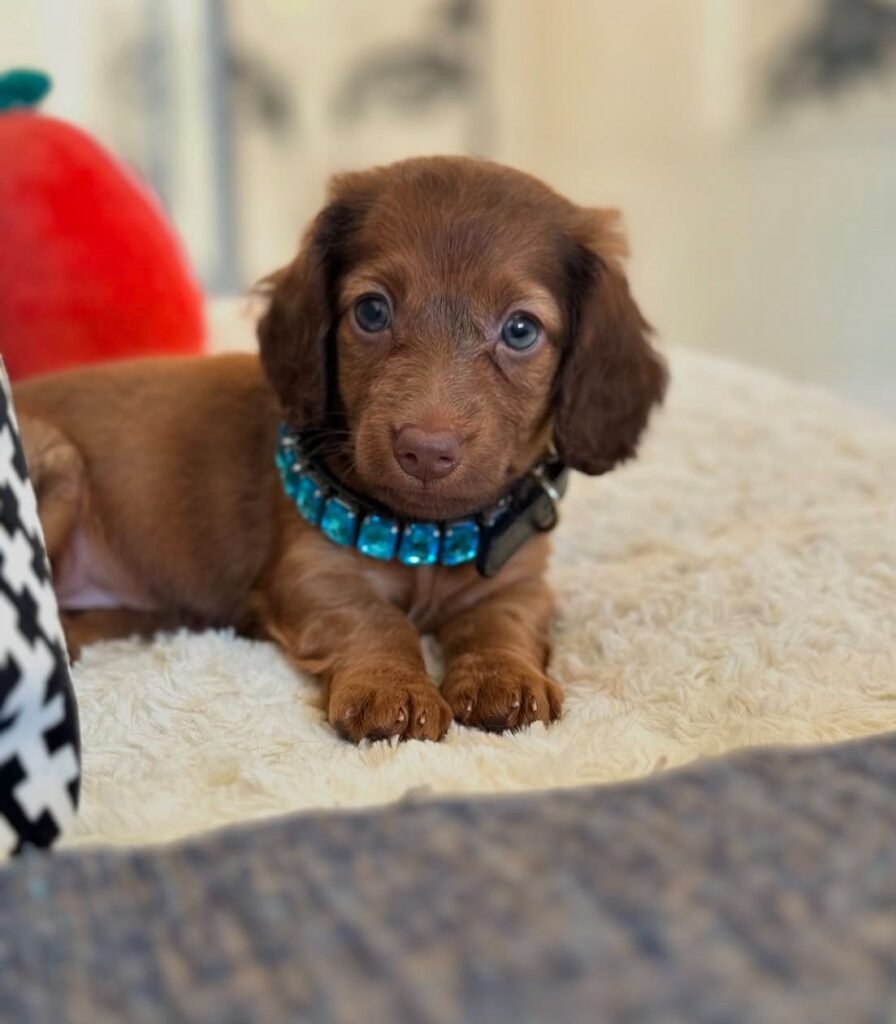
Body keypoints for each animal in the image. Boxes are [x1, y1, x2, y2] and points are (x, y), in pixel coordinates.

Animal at [13, 156, 667, 743]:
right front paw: (391, 689)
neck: (426, 535)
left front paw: (501, 678)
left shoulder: (518, 581)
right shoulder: (313, 573)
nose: (425, 451)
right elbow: (376, 620)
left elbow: (497, 622)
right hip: (57, 459)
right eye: (372, 311)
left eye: (521, 330)